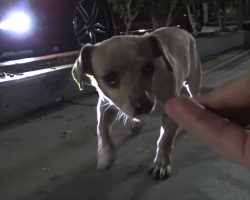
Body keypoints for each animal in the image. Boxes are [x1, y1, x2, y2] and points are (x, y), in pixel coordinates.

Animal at [71, 27, 202, 180]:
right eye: (110, 77)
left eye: (148, 68)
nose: (144, 105)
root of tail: (182, 30)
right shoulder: (105, 106)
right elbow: (102, 131)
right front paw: (105, 156)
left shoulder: (170, 112)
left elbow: (164, 140)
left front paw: (161, 164)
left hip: (193, 81)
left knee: (195, 94)